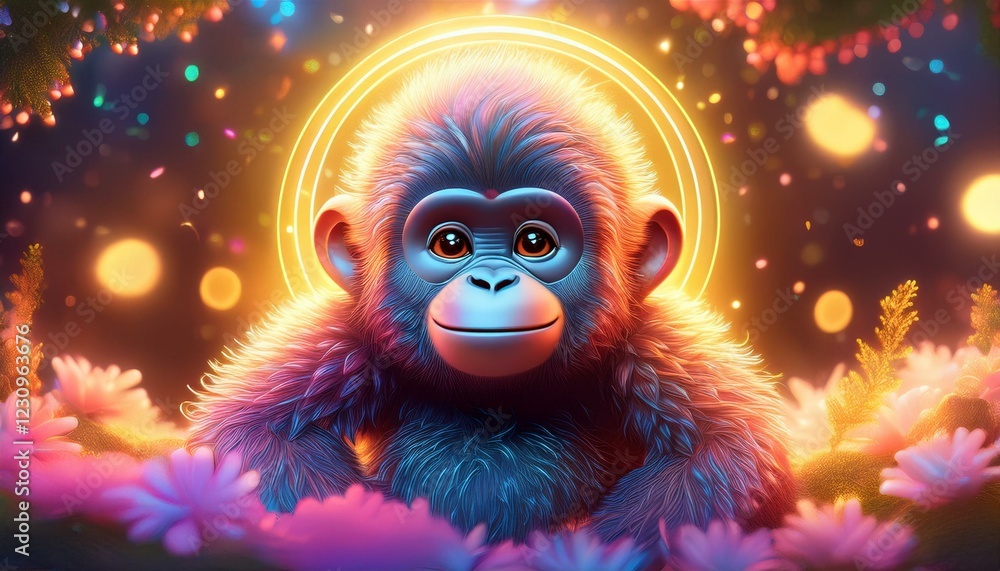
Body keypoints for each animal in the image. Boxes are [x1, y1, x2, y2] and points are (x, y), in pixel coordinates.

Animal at [187, 46, 795, 551]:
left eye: (535, 241)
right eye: (451, 243)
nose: (493, 282)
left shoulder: (650, 343)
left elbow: (733, 450)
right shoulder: (345, 336)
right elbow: (247, 438)